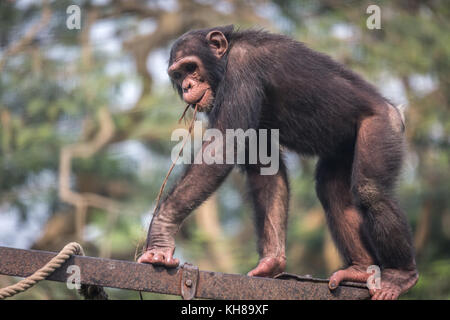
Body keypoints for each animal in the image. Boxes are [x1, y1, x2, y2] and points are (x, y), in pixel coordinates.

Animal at [137, 25, 418, 300]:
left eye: (191, 67)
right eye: (177, 74)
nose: (186, 85)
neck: (223, 61)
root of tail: (396, 110)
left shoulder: (243, 68)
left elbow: (224, 146)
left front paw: (161, 234)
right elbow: (264, 166)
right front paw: (271, 262)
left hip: (381, 125)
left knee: (371, 192)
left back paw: (400, 275)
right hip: (342, 149)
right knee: (332, 192)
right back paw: (359, 269)